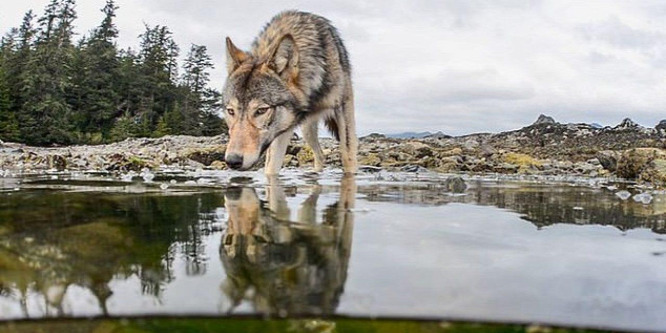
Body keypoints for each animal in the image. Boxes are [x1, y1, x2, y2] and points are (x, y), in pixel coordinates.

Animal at [222, 10, 358, 174]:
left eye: (261, 110)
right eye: (231, 111)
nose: (232, 160)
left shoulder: (343, 107)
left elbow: (348, 157)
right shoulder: (279, 132)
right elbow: (271, 170)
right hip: (306, 131)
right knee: (319, 156)